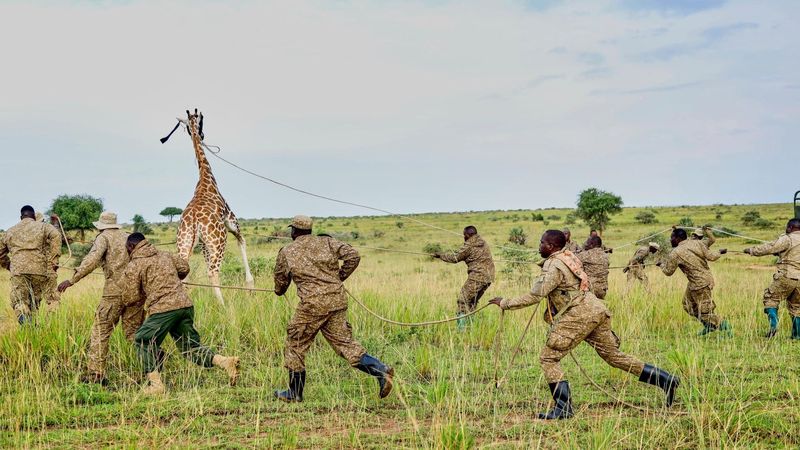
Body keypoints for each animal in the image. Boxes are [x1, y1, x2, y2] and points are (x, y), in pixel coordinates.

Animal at [172, 109, 254, 304]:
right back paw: (222, 305)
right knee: (213, 272)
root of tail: (194, 220)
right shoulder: (231, 221)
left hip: (184, 242)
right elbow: (242, 241)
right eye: (201, 121)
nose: (201, 135)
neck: (206, 179)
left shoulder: (202, 244)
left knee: (185, 275)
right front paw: (250, 286)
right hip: (219, 241)